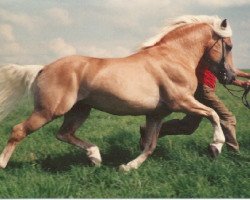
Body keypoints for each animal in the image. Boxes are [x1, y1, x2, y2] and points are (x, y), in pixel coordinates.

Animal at [0, 15, 235, 172]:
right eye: (230, 46)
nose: (231, 76)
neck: (173, 57)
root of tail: (43, 68)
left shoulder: (156, 114)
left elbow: (150, 145)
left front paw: (128, 167)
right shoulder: (182, 101)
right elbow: (213, 114)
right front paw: (216, 146)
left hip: (80, 110)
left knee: (63, 134)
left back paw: (95, 157)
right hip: (49, 110)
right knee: (19, 130)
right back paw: (3, 165)